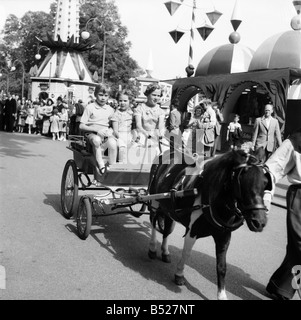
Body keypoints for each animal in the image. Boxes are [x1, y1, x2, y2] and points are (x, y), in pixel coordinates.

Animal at [146, 149, 268, 300]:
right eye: (242, 181)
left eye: (265, 182)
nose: (260, 222)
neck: (211, 199)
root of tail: (169, 150)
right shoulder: (192, 231)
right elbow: (186, 254)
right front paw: (179, 274)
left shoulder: (224, 236)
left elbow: (222, 267)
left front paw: (222, 295)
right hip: (155, 202)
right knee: (153, 225)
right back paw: (152, 248)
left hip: (169, 209)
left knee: (167, 230)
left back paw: (165, 251)